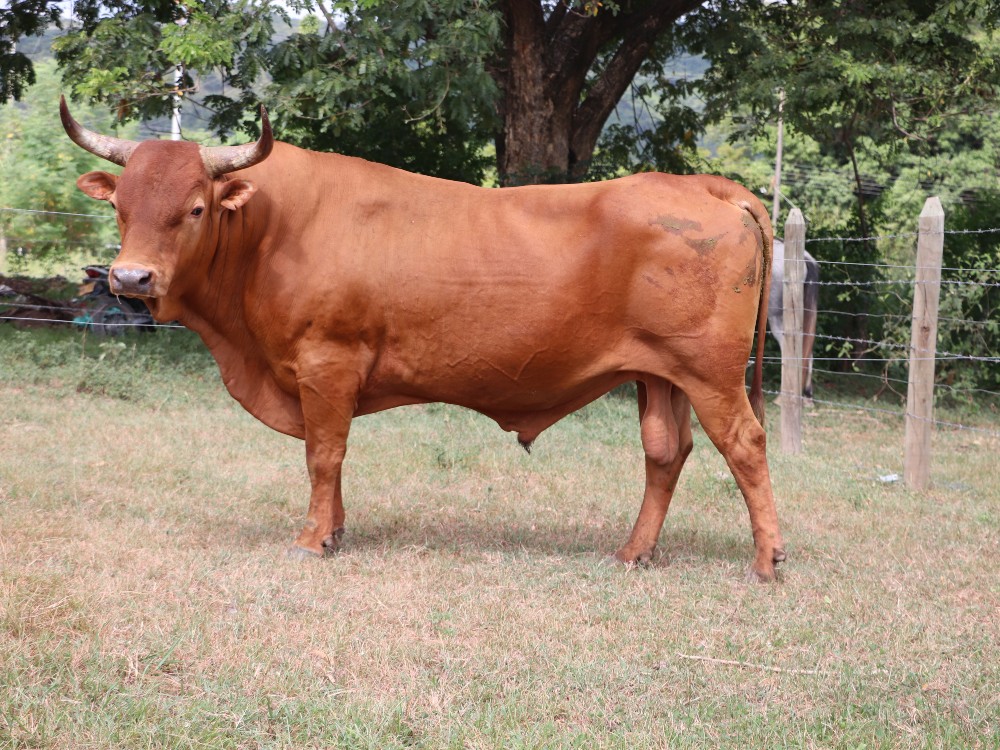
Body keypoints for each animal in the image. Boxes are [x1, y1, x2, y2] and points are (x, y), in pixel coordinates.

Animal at [62, 98, 784, 580]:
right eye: (120, 206)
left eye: (195, 208)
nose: (130, 277)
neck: (271, 229)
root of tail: (699, 185)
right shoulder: (318, 378)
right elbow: (329, 457)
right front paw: (335, 531)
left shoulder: (327, 362)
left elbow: (323, 454)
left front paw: (311, 539)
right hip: (660, 375)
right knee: (665, 453)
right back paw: (634, 553)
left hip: (711, 374)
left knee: (745, 446)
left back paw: (768, 559)